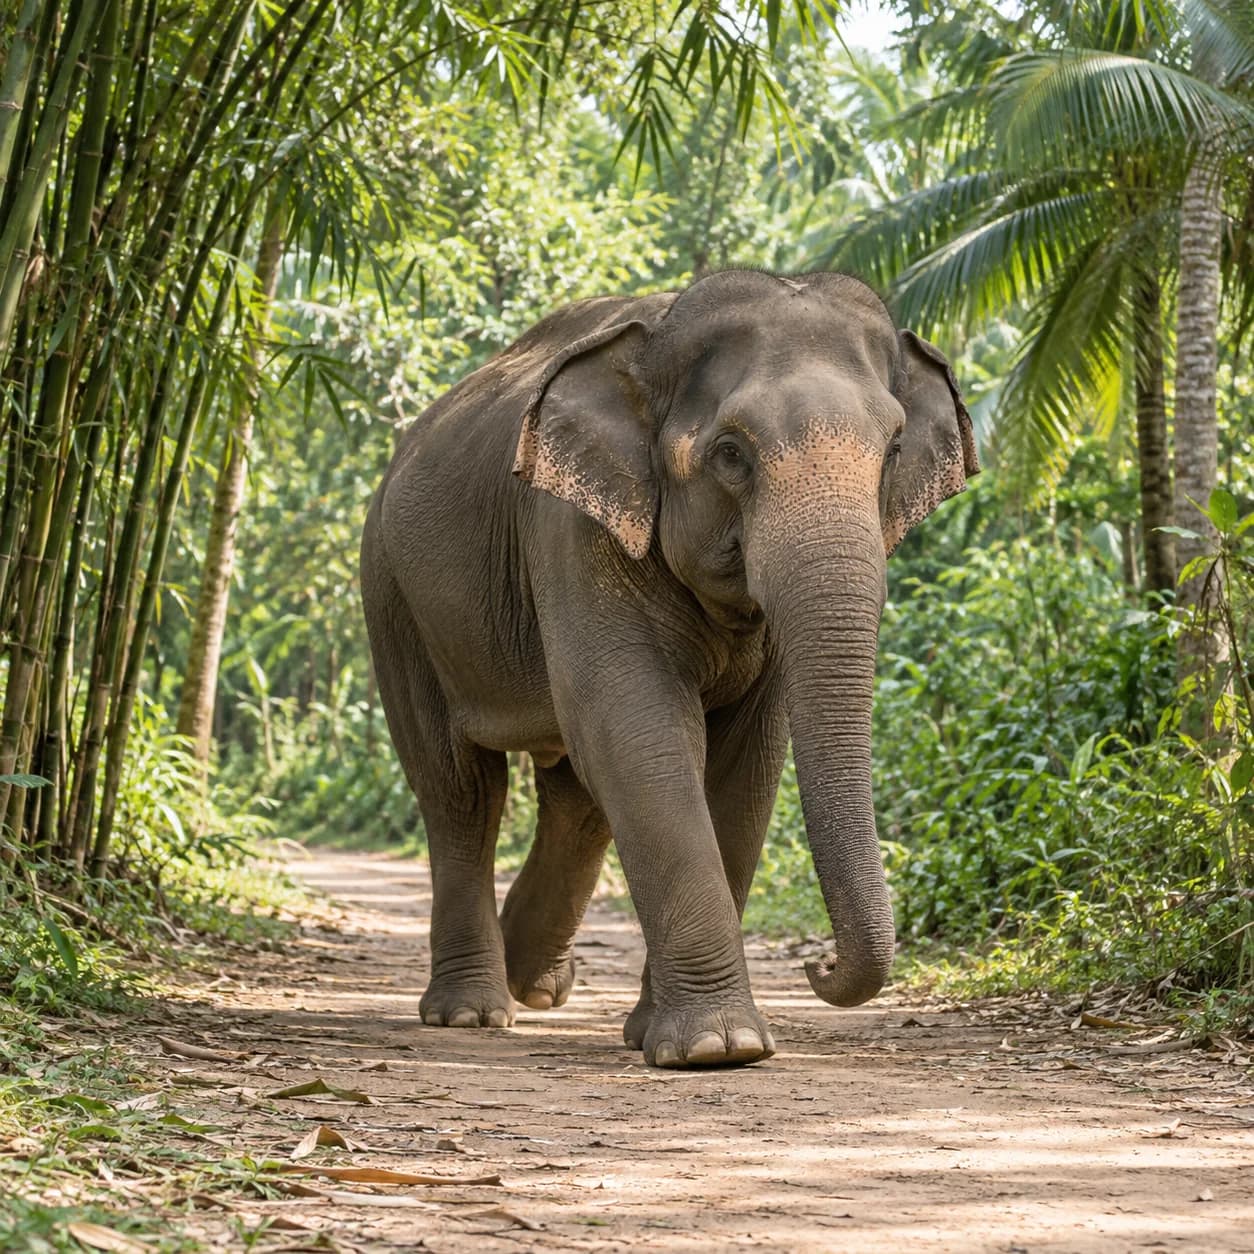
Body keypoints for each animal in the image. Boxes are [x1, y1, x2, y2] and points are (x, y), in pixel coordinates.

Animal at [360, 269, 977, 1069]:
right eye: (730, 453)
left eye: (895, 447)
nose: (818, 965)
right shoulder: (571, 529)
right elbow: (640, 730)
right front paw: (718, 1047)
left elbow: (745, 763)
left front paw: (668, 1035)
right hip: (394, 599)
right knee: (462, 789)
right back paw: (472, 1013)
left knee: (574, 799)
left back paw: (537, 984)